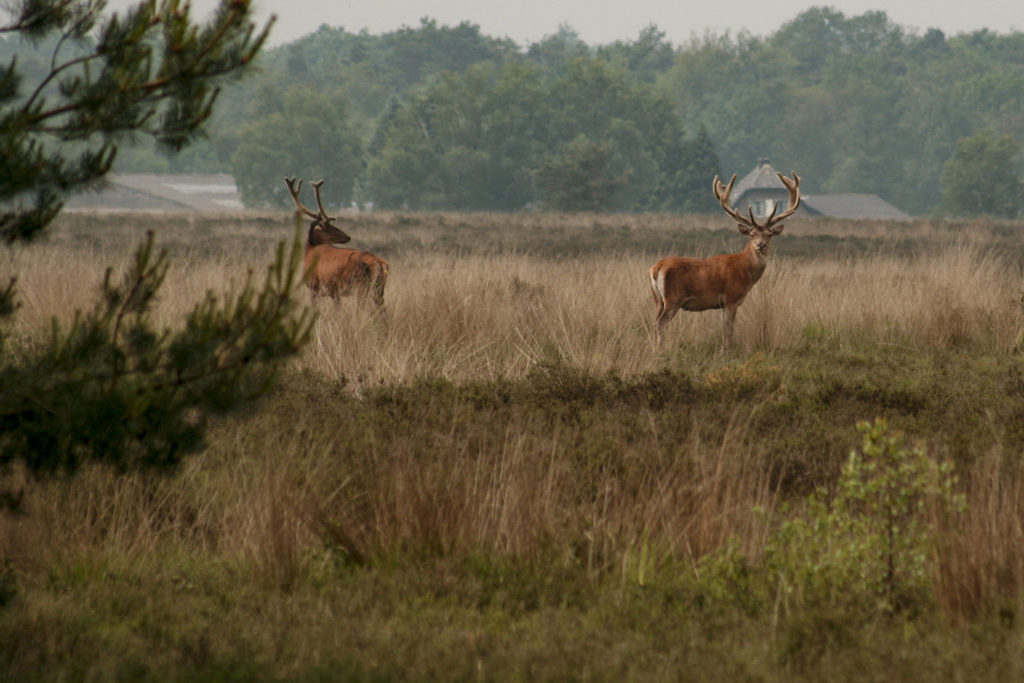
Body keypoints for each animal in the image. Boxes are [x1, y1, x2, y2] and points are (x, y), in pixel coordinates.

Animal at [284, 176, 387, 307]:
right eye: (331, 228)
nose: (347, 237)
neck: (309, 252)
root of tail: (380, 264)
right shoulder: (334, 292)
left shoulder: (314, 287)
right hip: (379, 288)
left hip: (361, 285)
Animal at [647, 169, 798, 350]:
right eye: (752, 234)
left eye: (769, 235)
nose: (760, 245)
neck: (745, 270)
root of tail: (657, 267)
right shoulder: (731, 298)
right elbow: (728, 330)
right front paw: (727, 351)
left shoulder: (723, 304)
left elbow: (724, 329)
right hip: (672, 298)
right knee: (660, 323)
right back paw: (661, 350)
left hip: (658, 300)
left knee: (654, 321)